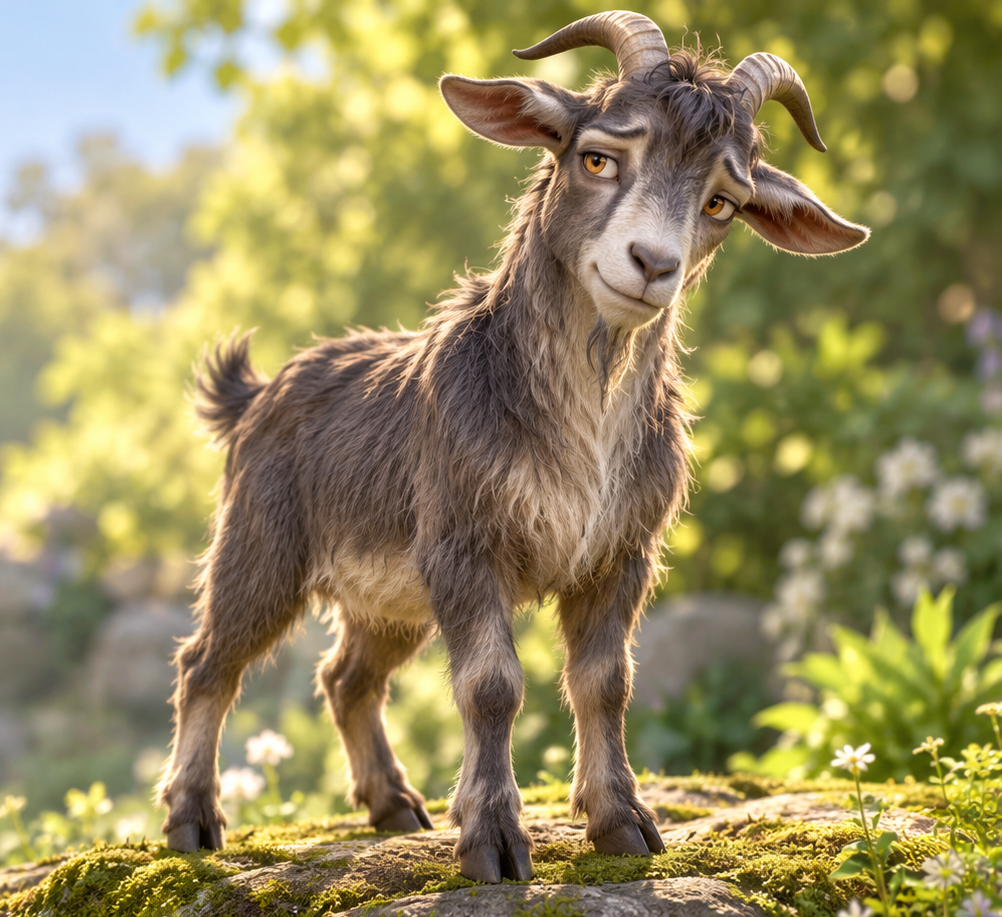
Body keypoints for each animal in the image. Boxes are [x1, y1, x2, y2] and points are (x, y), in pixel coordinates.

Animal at [157, 10, 869, 883]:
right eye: (597, 156)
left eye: (723, 201)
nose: (652, 264)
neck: (578, 421)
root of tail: (255, 396)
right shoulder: (464, 543)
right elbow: (491, 685)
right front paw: (493, 837)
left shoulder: (621, 553)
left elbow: (605, 681)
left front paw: (621, 820)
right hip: (261, 544)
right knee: (208, 661)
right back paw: (193, 818)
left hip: (390, 596)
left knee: (348, 677)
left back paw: (394, 805)